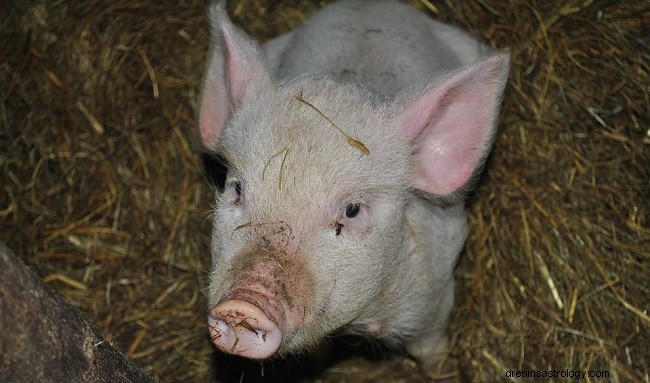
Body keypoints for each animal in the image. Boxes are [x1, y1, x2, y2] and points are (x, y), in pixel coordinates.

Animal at [197, 0, 506, 378]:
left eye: (352, 210)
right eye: (238, 189)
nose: (243, 304)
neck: (358, 322)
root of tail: (367, 5)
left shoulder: (433, 301)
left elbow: (431, 349)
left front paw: (445, 373)